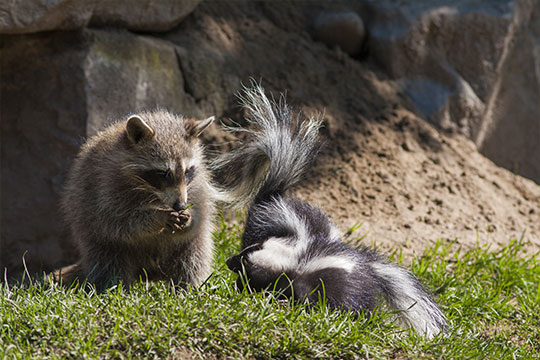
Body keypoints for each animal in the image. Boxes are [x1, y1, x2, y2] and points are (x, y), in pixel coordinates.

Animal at [58, 110, 217, 292]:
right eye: (163, 173)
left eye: (187, 171)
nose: (180, 205)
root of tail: (150, 272)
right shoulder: (106, 185)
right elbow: (120, 222)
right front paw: (156, 217)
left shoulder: (197, 185)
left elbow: (201, 214)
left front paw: (189, 217)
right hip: (90, 228)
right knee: (107, 259)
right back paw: (114, 287)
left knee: (194, 255)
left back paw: (189, 286)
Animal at [214, 84, 448, 338]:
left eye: (246, 261)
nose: (229, 261)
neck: (293, 259)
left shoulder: (305, 281)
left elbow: (302, 296)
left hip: (352, 289)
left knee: (356, 305)